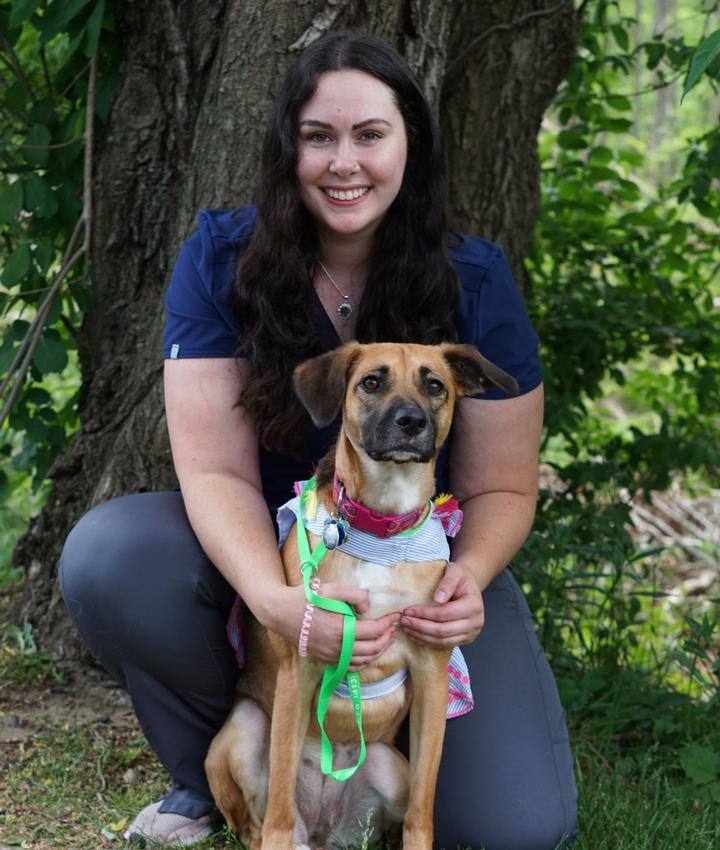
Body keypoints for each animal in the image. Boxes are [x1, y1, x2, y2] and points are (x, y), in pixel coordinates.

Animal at [205, 340, 516, 848]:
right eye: (371, 382)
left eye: (435, 385)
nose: (411, 422)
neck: (382, 525)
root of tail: (323, 830)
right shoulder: (299, 669)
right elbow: (277, 812)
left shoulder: (431, 675)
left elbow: (422, 811)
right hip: (243, 731)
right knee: (262, 823)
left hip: (391, 765)